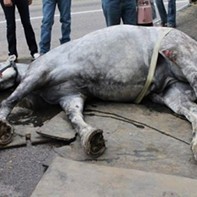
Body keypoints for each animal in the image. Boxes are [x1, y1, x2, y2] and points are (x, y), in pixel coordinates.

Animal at [0, 25, 197, 160]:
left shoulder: (40, 73)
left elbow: (9, 100)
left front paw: (3, 126)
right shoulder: (70, 96)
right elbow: (75, 117)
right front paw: (91, 137)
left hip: (181, 54)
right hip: (172, 92)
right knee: (192, 111)